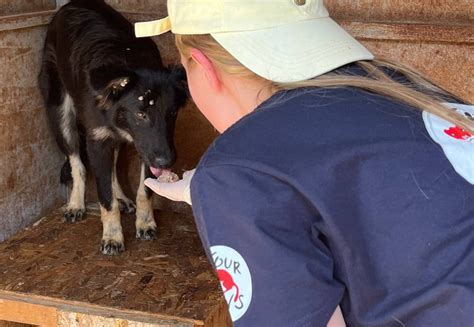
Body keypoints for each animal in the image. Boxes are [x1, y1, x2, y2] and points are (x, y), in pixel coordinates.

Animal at [38, 0, 187, 256]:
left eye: (171, 114)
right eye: (140, 114)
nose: (166, 162)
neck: (126, 59)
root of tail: (71, 4)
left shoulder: (148, 146)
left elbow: (144, 190)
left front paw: (145, 223)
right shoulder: (98, 141)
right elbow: (105, 198)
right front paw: (112, 237)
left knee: (113, 167)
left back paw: (122, 198)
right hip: (60, 114)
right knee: (77, 162)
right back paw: (75, 203)